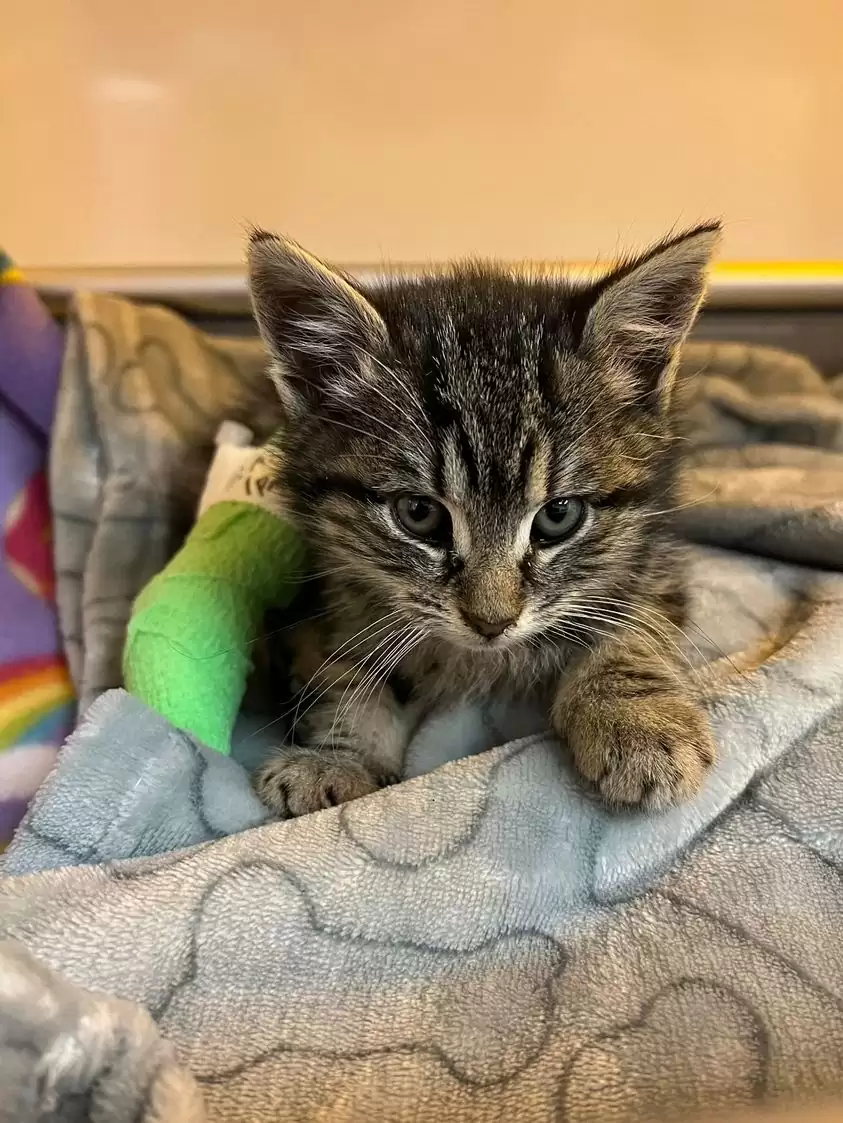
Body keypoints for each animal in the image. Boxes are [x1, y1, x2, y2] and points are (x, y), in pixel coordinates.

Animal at [246, 221, 722, 817]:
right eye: (419, 514)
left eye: (559, 515)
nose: (491, 623)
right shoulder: (324, 587)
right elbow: (344, 668)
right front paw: (340, 759)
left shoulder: (650, 551)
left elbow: (637, 622)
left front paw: (637, 720)